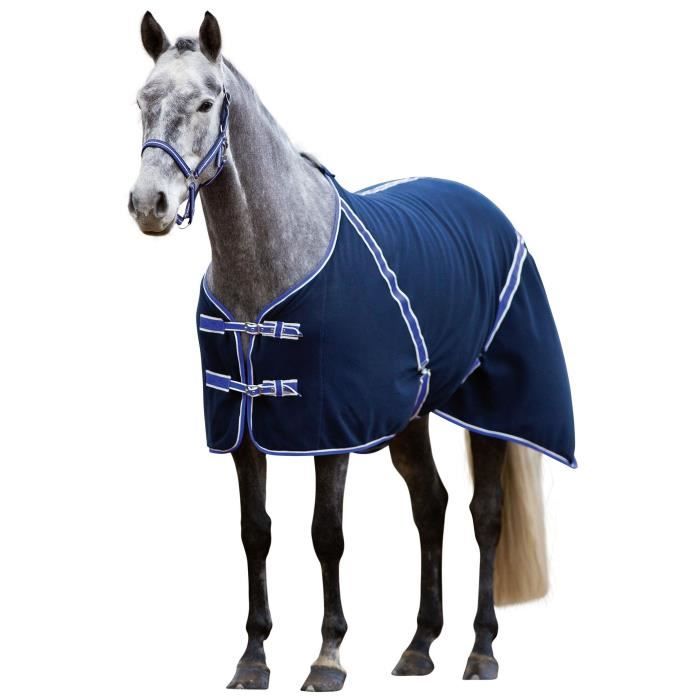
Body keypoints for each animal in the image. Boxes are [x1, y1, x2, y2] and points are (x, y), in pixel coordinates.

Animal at [128, 11, 576, 690]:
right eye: (141, 103)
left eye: (206, 101)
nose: (148, 204)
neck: (270, 271)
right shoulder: (244, 425)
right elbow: (255, 533)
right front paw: (253, 659)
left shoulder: (328, 430)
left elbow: (326, 535)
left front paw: (328, 657)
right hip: (410, 416)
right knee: (431, 506)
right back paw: (419, 647)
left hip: (494, 411)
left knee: (486, 515)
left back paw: (481, 651)